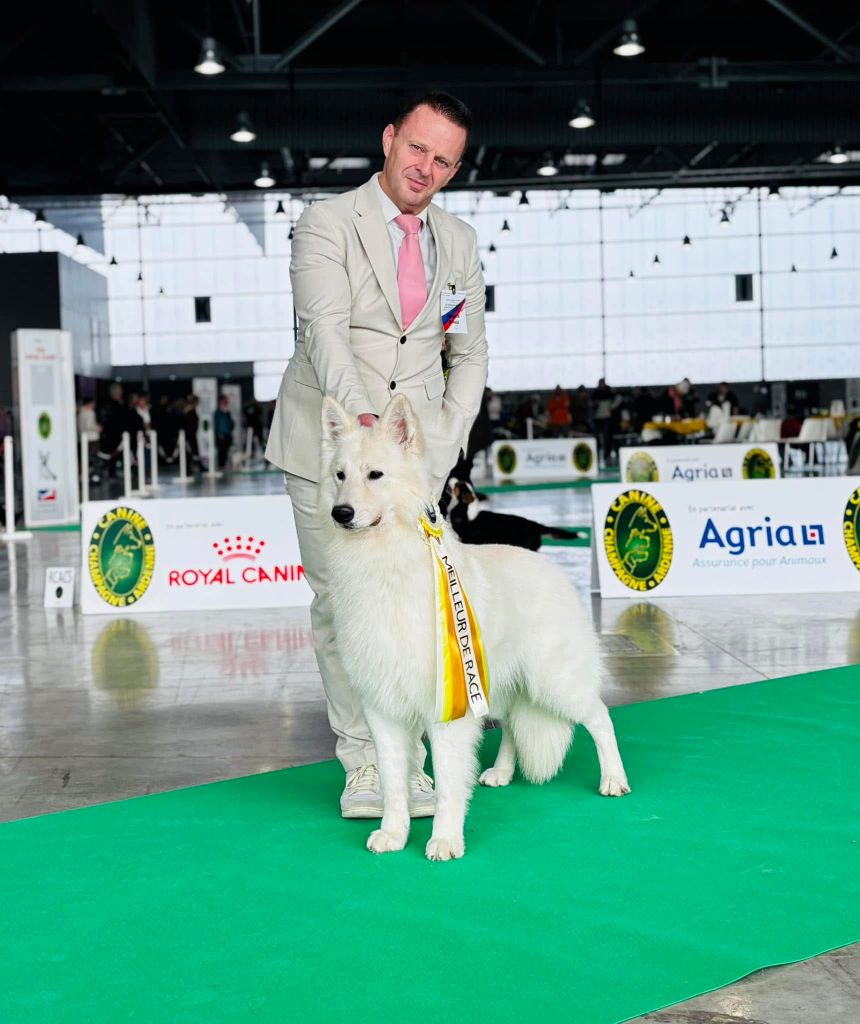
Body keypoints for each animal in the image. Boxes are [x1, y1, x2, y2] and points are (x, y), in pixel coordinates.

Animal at [319, 395, 626, 860]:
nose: (341, 513)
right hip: (497, 685)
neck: (387, 561)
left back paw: (613, 779)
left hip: (553, 680)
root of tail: (550, 566)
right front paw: (393, 833)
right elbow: (393, 782)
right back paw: (501, 771)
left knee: (599, 717)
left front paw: (445, 839)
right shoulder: (383, 706)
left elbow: (448, 782)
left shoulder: (448, 707)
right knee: (514, 724)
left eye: (375, 475)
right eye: (340, 475)